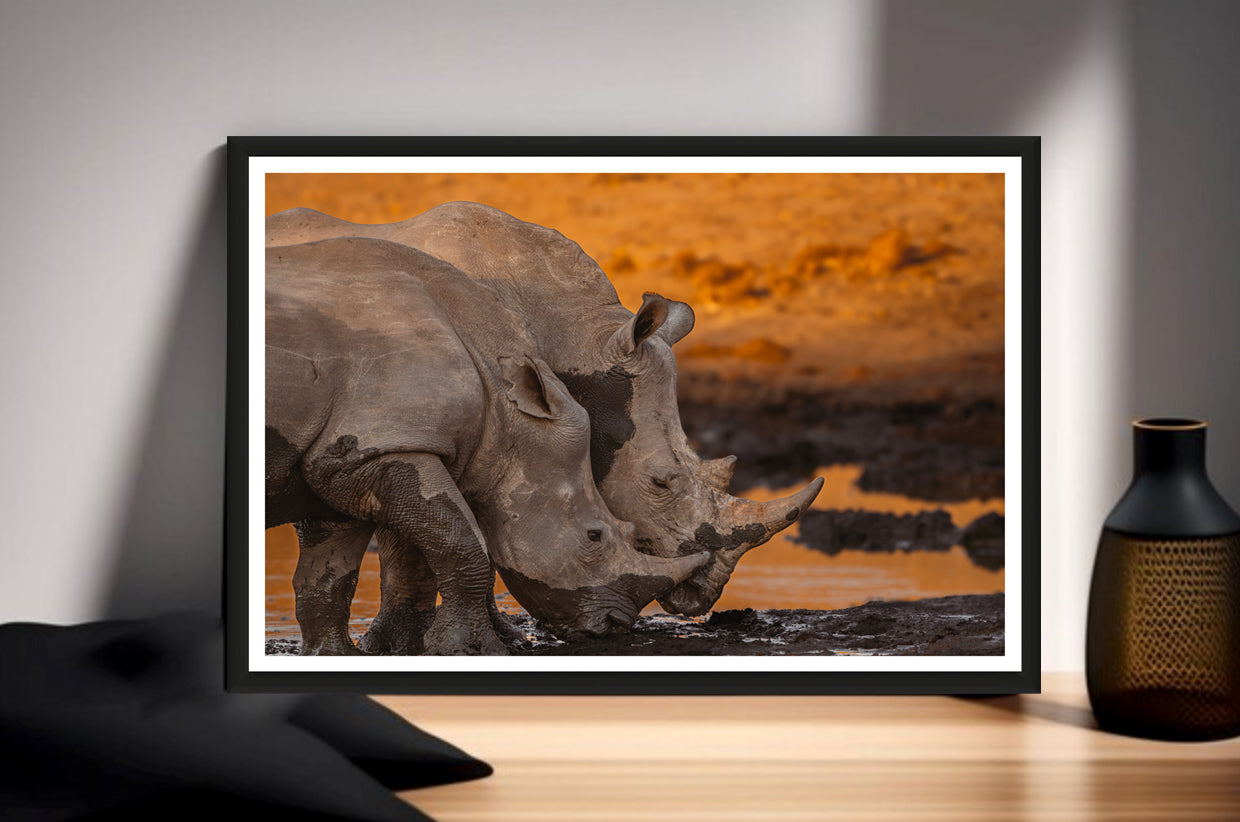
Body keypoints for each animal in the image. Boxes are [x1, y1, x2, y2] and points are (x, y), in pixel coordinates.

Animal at [267, 203, 824, 636]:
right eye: (659, 482)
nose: (702, 595)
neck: (567, 336)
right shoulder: (406, 425)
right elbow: (424, 541)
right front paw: (408, 642)